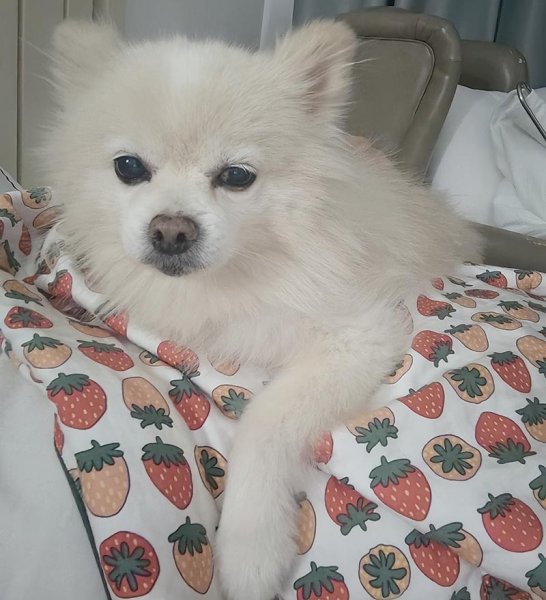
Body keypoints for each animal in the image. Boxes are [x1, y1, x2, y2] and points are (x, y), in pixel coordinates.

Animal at [43, 19, 481, 599]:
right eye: (129, 168)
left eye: (236, 176)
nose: (172, 231)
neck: (235, 275)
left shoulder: (359, 335)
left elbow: (264, 422)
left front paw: (249, 549)